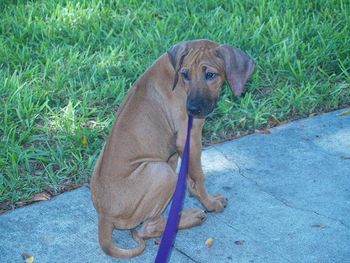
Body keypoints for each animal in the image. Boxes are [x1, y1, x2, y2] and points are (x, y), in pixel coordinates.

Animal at [90, 40, 254, 258]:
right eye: (185, 74)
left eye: (210, 75)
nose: (191, 109)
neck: (175, 74)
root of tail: (104, 216)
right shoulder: (190, 137)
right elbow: (199, 176)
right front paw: (210, 203)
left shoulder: (178, 148)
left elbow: (190, 174)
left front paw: (193, 192)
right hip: (161, 173)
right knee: (148, 228)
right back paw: (191, 217)